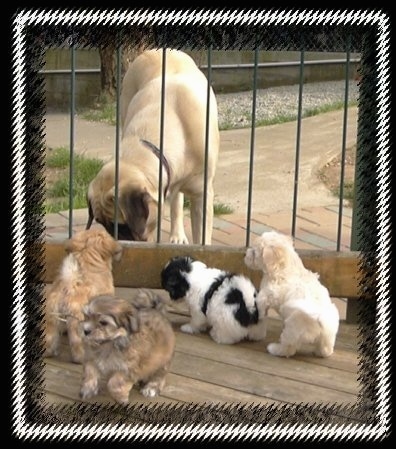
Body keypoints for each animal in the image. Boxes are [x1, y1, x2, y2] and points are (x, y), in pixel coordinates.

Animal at [43, 228, 122, 364]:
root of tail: (68, 286)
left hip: (51, 319)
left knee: (49, 339)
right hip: (78, 324)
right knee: (77, 343)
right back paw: (81, 358)